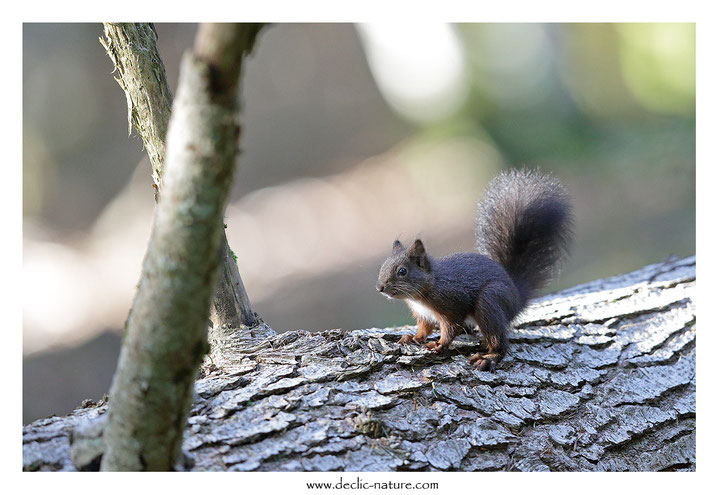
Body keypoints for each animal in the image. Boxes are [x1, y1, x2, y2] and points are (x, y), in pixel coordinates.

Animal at [376, 169, 572, 370]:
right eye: (383, 266)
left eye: (402, 271)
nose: (380, 288)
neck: (425, 290)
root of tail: (517, 298)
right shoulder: (424, 315)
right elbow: (424, 328)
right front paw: (412, 337)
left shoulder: (452, 304)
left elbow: (451, 327)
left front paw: (440, 344)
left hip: (490, 301)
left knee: (498, 340)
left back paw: (489, 357)